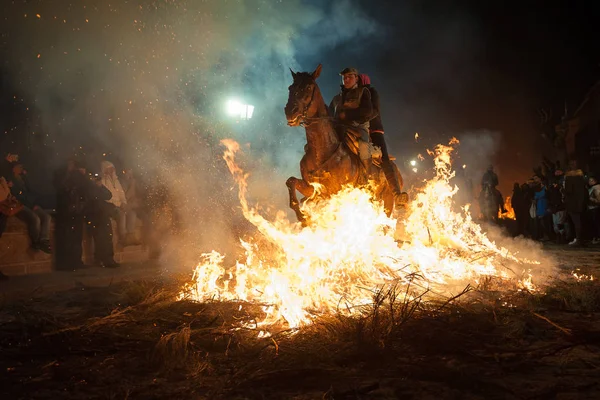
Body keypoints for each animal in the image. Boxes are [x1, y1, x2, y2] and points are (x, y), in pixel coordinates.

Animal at [282, 64, 404, 223]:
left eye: (308, 87)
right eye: (291, 87)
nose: (290, 111)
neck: (323, 150)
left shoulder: (338, 192)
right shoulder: (313, 188)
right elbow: (291, 182)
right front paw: (303, 217)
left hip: (387, 200)